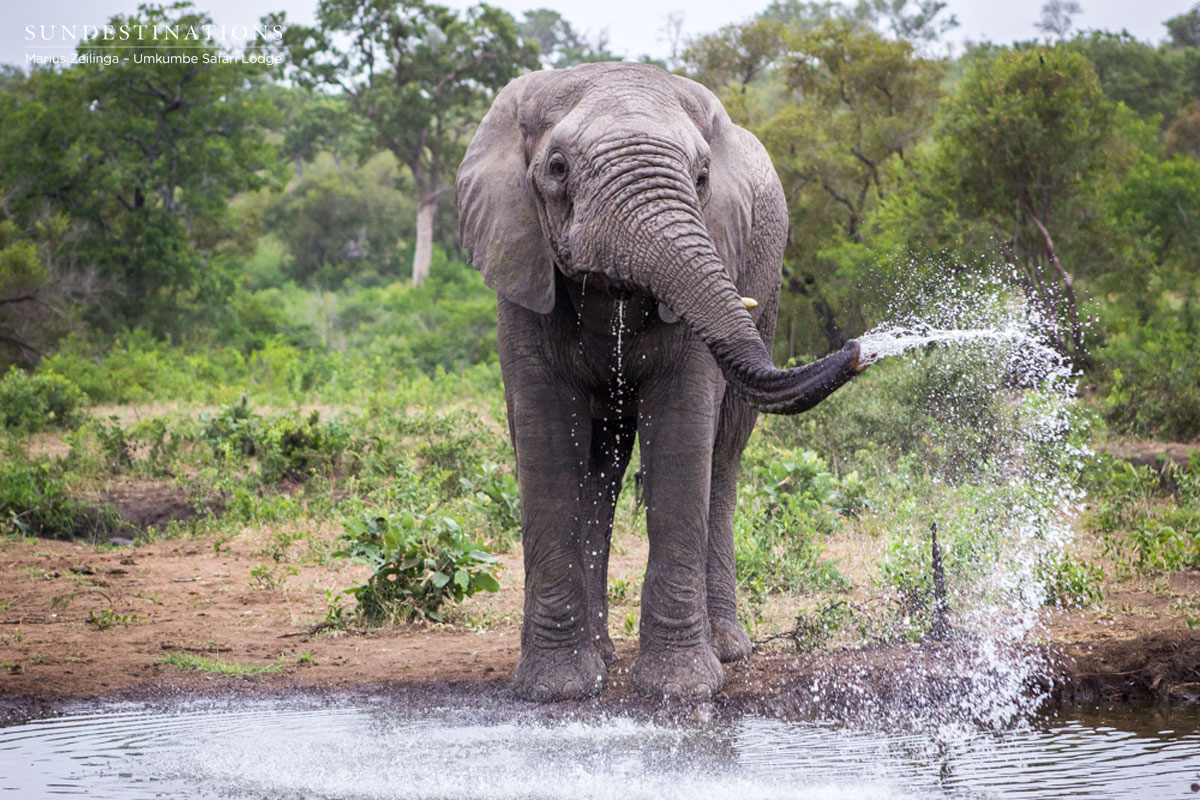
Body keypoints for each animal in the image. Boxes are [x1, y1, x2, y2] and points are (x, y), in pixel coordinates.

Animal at [455, 62, 866, 702]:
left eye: (702, 177)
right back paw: (600, 656)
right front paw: (557, 690)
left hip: (768, 279)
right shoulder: (519, 262)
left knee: (722, 456)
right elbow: (546, 441)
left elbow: (681, 437)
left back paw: (727, 649)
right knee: (599, 466)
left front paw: (680, 689)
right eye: (556, 168)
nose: (858, 350)